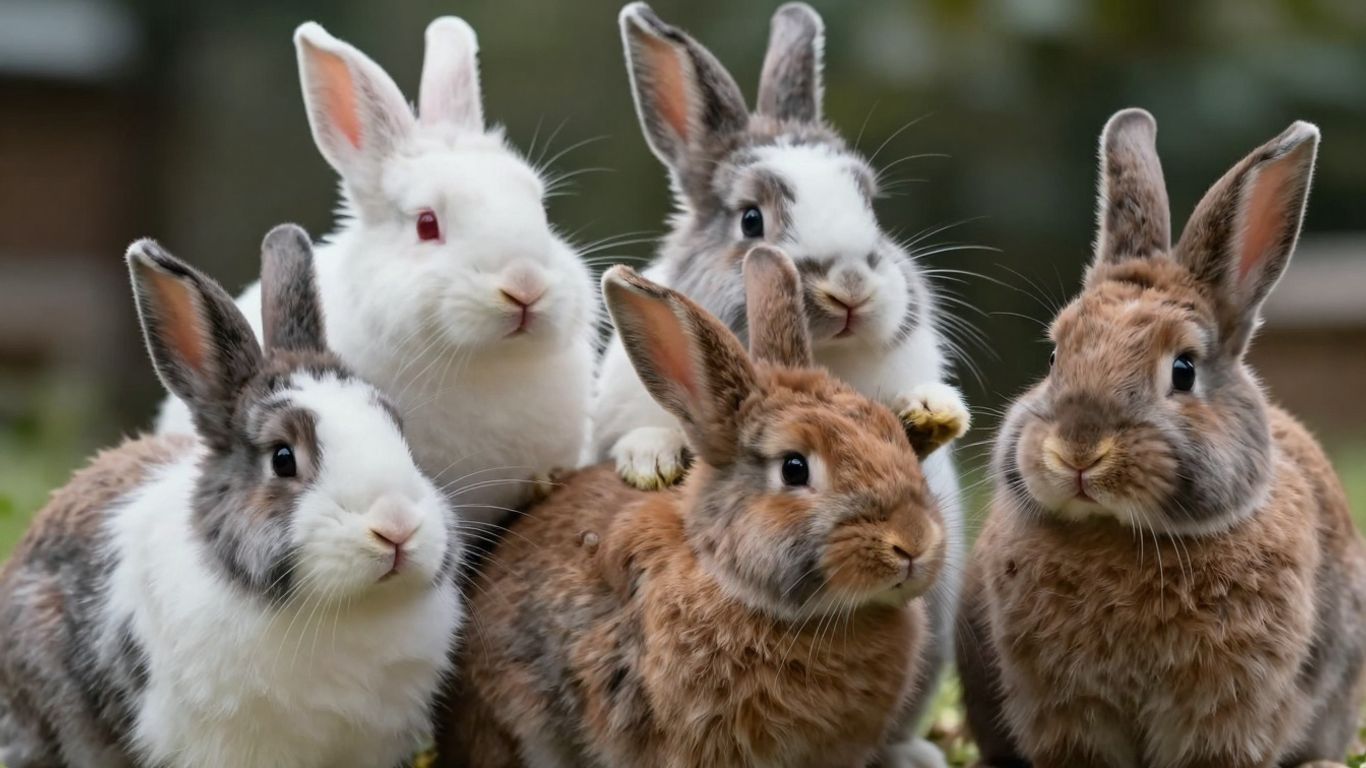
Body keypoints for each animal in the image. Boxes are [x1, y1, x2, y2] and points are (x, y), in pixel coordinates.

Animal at [957, 109, 1366, 768]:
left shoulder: (1228, 707)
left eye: (1183, 370)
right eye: (1054, 357)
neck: (1122, 532)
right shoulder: (1064, 710)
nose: (1078, 450)